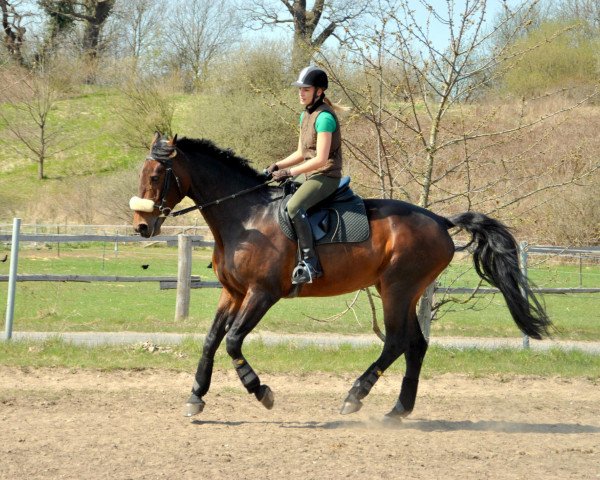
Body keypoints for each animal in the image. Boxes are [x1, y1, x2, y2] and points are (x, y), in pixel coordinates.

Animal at [129, 133, 552, 418]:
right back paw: (398, 410)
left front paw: (260, 390)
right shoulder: (232, 292)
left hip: (397, 289)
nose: (141, 227)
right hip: (403, 291)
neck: (245, 216)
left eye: (157, 175)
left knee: (396, 342)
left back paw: (355, 396)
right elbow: (211, 340)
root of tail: (439, 221)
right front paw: (195, 396)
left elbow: (232, 341)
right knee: (416, 345)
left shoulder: (262, 293)